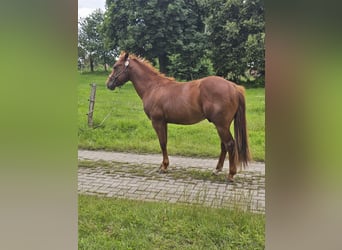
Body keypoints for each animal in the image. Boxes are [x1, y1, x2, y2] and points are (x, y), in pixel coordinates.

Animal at [105, 52, 250, 182]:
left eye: (115, 66)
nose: (108, 84)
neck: (153, 87)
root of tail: (234, 87)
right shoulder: (164, 122)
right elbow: (164, 142)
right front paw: (163, 165)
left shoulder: (157, 122)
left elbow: (162, 143)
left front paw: (164, 167)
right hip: (222, 126)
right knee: (224, 145)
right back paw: (217, 170)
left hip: (221, 125)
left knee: (230, 144)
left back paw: (230, 174)